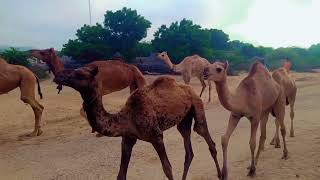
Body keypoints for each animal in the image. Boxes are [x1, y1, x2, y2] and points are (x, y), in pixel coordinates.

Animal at [53, 66, 221, 180]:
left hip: (197, 106)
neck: (128, 117)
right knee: (188, 149)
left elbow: (167, 168)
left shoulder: (156, 136)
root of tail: (189, 89)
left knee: (207, 138)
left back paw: (221, 174)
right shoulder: (128, 138)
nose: (57, 76)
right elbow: (121, 174)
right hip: (184, 119)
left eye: (80, 74)